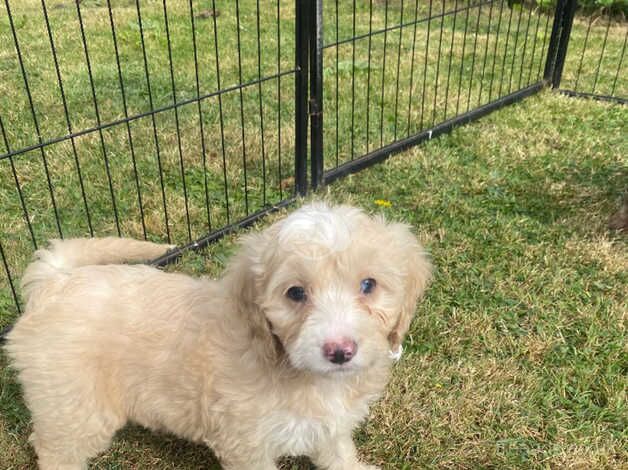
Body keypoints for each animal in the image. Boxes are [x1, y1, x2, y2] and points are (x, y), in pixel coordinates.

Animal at [7, 203, 432, 470]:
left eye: (368, 285)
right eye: (295, 293)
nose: (340, 351)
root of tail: (55, 281)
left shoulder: (329, 423)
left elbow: (336, 450)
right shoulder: (245, 442)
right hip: (76, 405)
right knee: (56, 450)